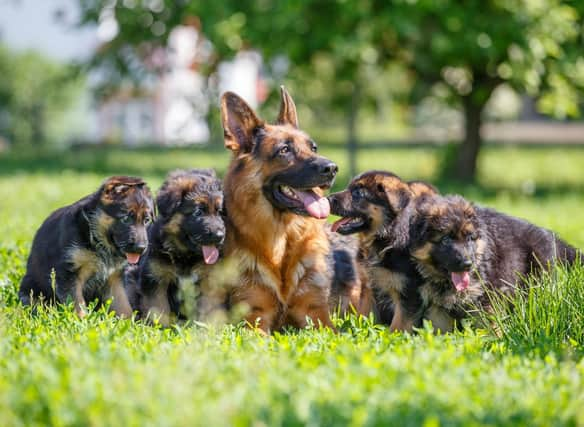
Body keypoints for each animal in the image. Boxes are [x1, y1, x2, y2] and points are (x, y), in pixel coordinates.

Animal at [19, 175, 154, 318]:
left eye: (147, 220)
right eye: (126, 219)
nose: (141, 248)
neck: (96, 238)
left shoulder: (114, 278)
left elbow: (123, 306)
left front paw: (130, 322)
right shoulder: (69, 275)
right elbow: (77, 303)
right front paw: (82, 321)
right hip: (30, 289)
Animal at [125, 169, 226, 326]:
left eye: (219, 212)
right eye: (198, 212)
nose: (219, 236)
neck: (185, 255)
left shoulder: (208, 281)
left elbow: (207, 309)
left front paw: (206, 327)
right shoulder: (155, 279)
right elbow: (158, 308)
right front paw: (160, 327)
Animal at [221, 88, 340, 334]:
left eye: (313, 148)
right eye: (284, 150)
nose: (332, 168)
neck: (283, 236)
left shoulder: (317, 314)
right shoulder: (254, 318)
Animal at [328, 171, 438, 332]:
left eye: (358, 193)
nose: (327, 199)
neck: (383, 239)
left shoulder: (408, 292)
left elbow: (399, 325)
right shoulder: (368, 288)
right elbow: (364, 316)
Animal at [408, 196, 580, 332]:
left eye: (469, 238)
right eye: (445, 240)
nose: (467, 264)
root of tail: (549, 234)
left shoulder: (486, 298)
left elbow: (487, 326)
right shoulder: (437, 307)